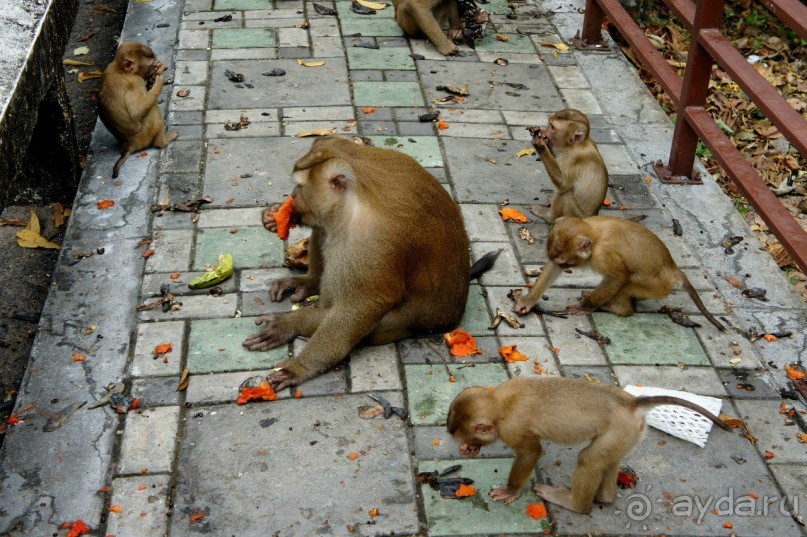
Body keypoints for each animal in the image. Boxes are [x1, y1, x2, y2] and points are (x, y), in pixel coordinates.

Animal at [98, 41, 177, 178]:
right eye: (152, 65)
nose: (158, 66)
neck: (121, 69)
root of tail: (129, 145)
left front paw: (152, 82)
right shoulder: (135, 81)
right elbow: (136, 112)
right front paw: (159, 82)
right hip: (144, 134)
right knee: (153, 110)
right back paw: (163, 141)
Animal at [240, 136, 498, 388]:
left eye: (301, 186)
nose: (293, 196)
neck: (356, 197)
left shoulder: (373, 240)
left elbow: (364, 304)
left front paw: (297, 355)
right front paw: (276, 216)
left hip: (417, 320)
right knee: (327, 229)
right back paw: (310, 283)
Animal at [448, 374, 732, 512]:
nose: (467, 443)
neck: (499, 403)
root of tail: (630, 403)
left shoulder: (512, 429)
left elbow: (531, 452)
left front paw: (511, 490)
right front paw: (472, 449)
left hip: (618, 430)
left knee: (589, 459)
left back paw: (575, 504)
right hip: (628, 434)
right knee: (607, 460)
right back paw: (605, 497)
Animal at [516, 215, 728, 330]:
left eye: (568, 262)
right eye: (562, 263)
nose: (565, 267)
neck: (594, 236)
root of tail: (674, 270)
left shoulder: (603, 255)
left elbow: (618, 276)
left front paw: (585, 307)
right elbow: (552, 268)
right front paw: (528, 300)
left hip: (656, 286)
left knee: (626, 285)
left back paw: (616, 307)